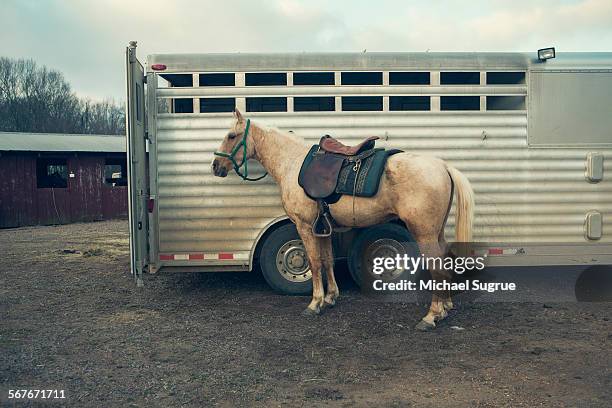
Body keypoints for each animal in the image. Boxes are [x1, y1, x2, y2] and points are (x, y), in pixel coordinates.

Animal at [213, 109, 476, 332]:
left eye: (231, 136)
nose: (216, 166)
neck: (293, 163)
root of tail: (443, 166)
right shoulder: (323, 228)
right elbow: (327, 260)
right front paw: (330, 298)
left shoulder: (305, 226)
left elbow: (314, 262)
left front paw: (315, 303)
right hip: (435, 232)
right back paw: (445, 307)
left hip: (424, 233)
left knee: (436, 265)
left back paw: (431, 316)